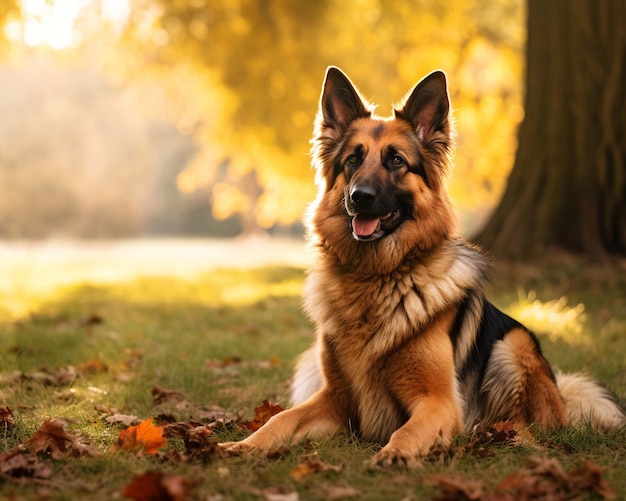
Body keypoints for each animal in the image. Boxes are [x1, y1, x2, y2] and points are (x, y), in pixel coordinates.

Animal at [218, 67, 620, 464]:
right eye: (352, 160)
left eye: (396, 161)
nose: (359, 197)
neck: (376, 277)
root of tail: (564, 397)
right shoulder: (335, 398)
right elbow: (281, 419)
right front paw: (243, 445)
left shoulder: (438, 402)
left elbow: (409, 429)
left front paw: (395, 454)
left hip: (514, 344)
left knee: (525, 426)